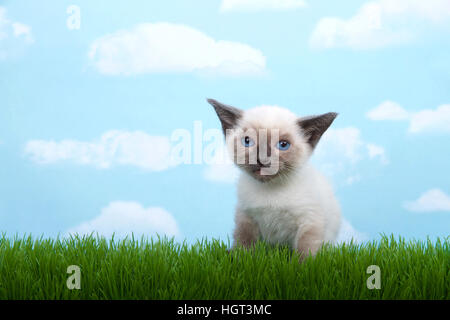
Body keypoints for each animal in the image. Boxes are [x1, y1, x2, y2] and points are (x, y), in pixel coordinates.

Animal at [207, 99, 342, 258]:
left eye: (283, 145)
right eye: (247, 141)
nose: (262, 159)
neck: (270, 190)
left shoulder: (309, 221)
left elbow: (305, 252)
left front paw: (300, 264)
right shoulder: (246, 216)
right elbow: (244, 243)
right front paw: (239, 258)